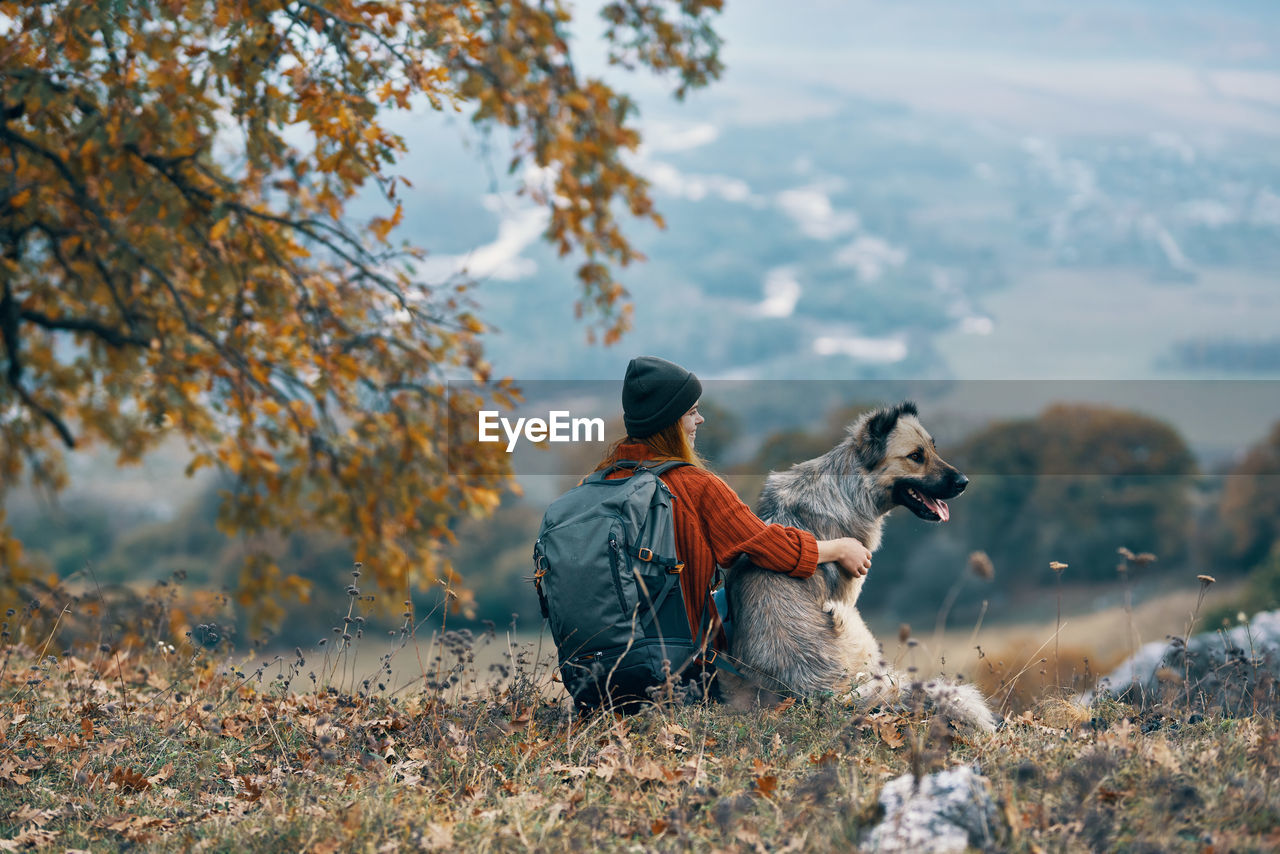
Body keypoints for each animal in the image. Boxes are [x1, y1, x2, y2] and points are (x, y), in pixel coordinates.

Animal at [721, 402, 998, 737]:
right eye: (915, 456)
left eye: (934, 449)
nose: (964, 482)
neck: (849, 489)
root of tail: (814, 689)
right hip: (852, 619)